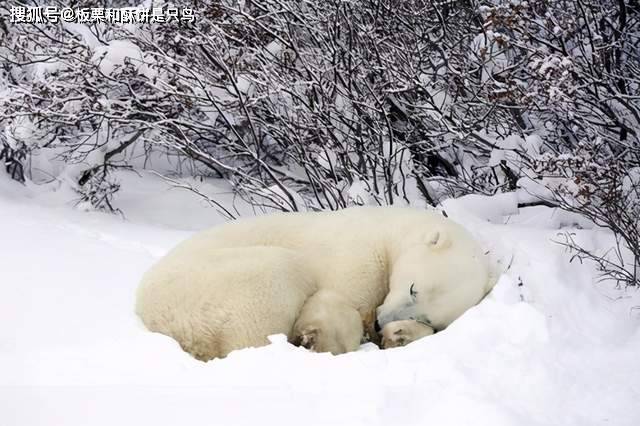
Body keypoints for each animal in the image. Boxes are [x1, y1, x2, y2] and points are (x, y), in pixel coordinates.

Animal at [136, 206, 496, 360]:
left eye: (426, 314)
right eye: (412, 287)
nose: (381, 324)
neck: (389, 231)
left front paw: (400, 335)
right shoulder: (358, 255)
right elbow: (342, 302)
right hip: (220, 284)